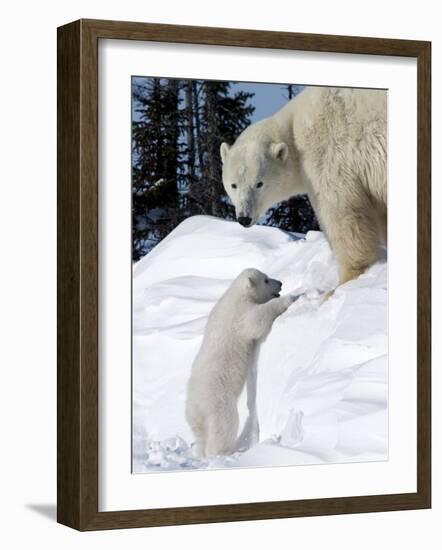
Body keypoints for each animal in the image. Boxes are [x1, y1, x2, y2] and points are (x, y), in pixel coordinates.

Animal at [185, 270, 296, 460]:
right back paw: (224, 452)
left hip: (197, 416)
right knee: (224, 425)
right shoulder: (240, 315)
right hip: (218, 399)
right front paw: (292, 297)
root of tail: (194, 405)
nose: (281, 283)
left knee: (201, 436)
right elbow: (256, 320)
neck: (236, 294)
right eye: (266, 280)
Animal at [221, 86, 386, 294]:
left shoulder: (327, 155)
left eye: (259, 183)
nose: (244, 218)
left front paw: (344, 282)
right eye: (233, 185)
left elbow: (342, 212)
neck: (292, 129)